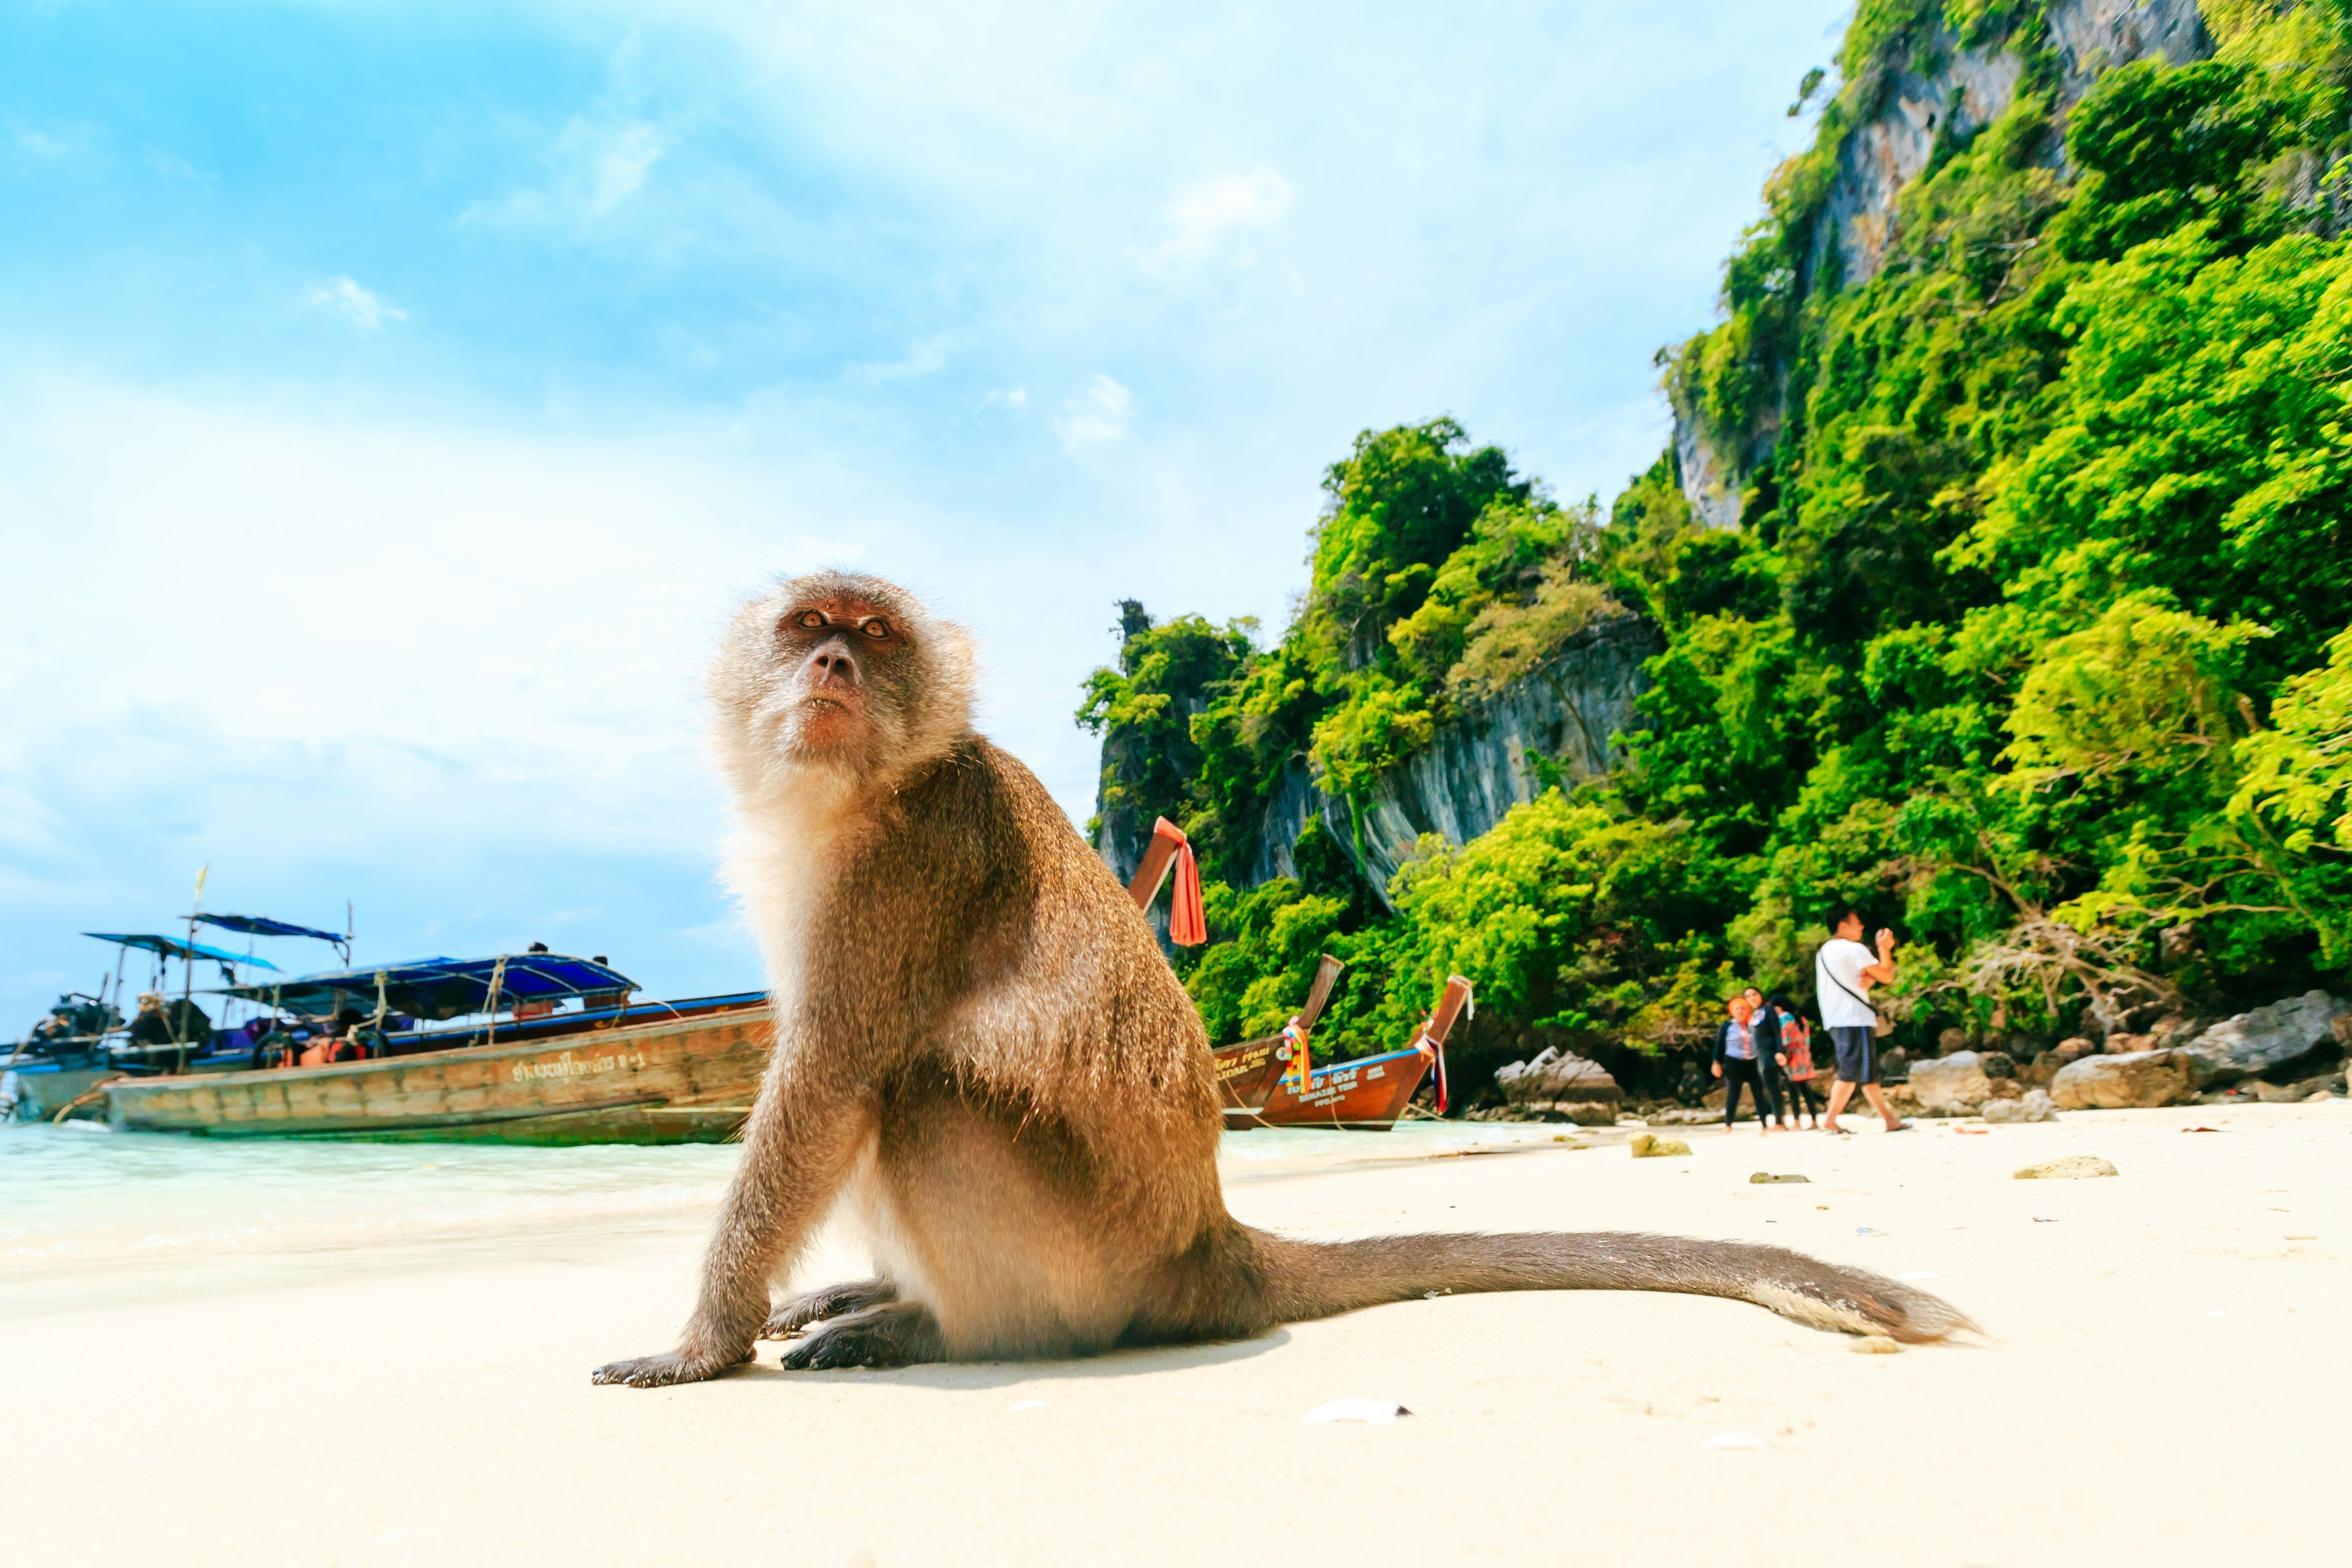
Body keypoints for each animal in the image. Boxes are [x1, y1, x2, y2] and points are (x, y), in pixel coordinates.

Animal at [591, 572, 1968, 1387]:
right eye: (805, 629)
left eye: (872, 636)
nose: (832, 668)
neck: (860, 790)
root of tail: (1213, 1244)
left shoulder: (905, 863)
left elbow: (828, 1079)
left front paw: (701, 1343)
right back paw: (883, 1293)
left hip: (1088, 1260)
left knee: (918, 1089)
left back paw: (934, 1326)